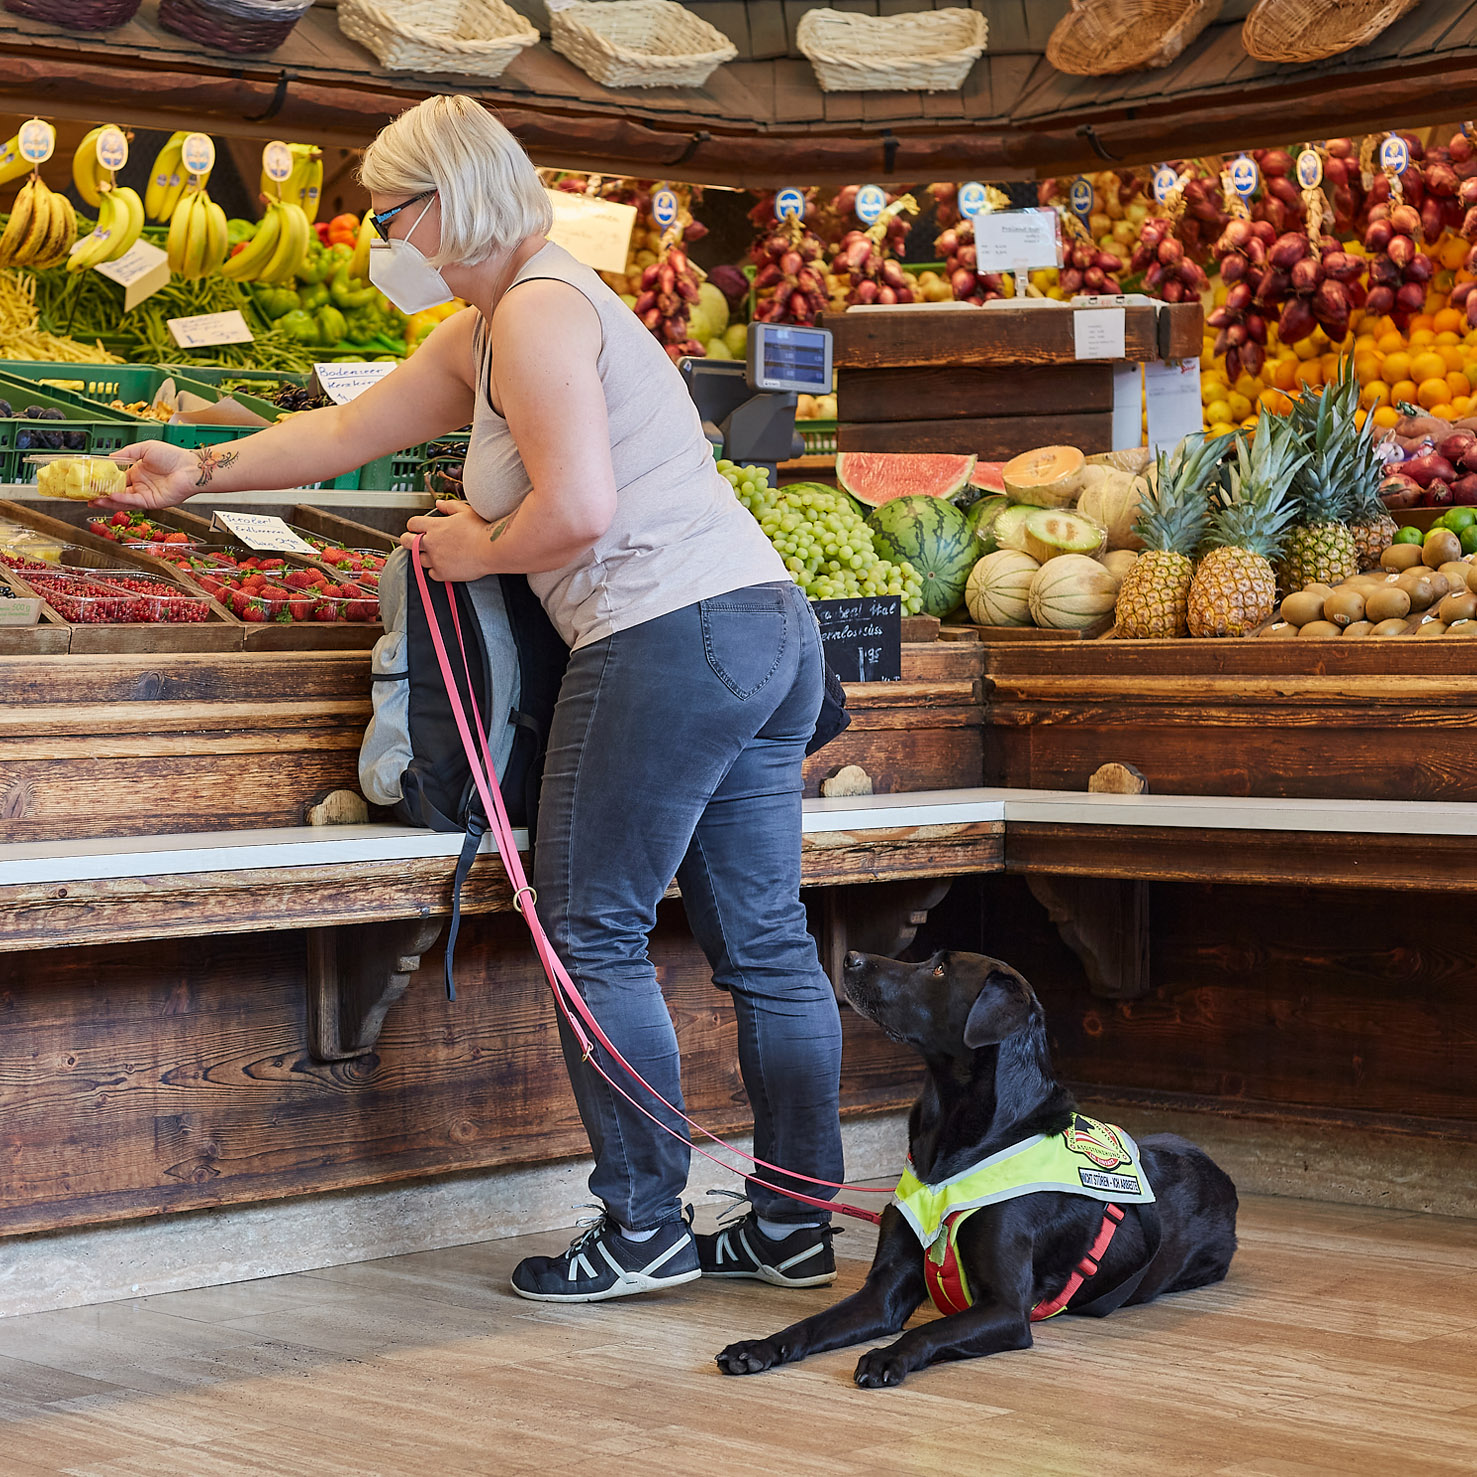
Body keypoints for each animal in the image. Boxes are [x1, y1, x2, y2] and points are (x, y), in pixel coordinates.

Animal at [714, 951, 1234, 1388]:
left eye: (939, 970)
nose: (850, 957)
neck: (955, 1142)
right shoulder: (882, 1292)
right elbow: (812, 1323)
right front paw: (760, 1346)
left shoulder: (1005, 1309)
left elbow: (927, 1331)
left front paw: (888, 1356)